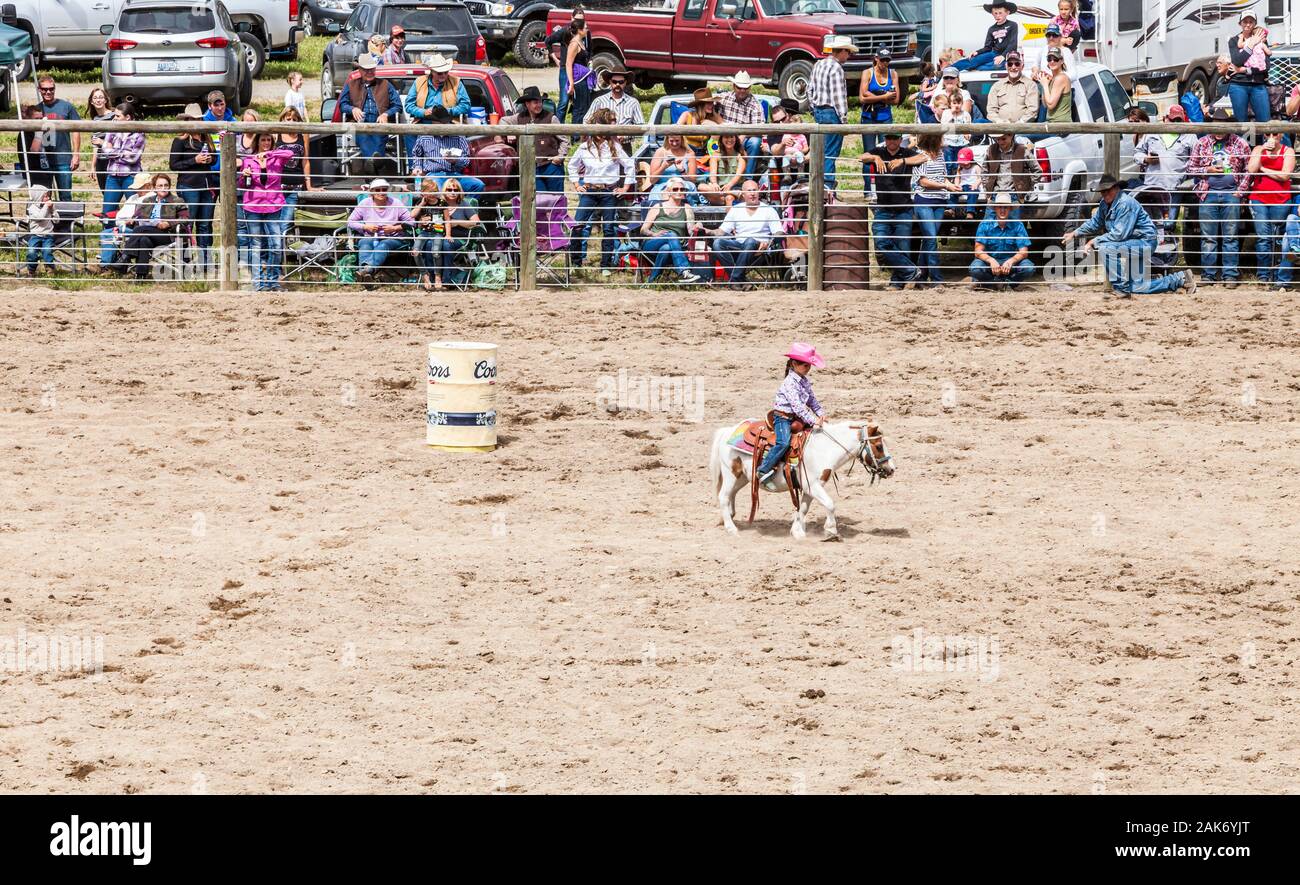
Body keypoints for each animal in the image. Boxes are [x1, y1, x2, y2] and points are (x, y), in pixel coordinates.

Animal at [712, 421, 894, 538]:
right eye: (879, 446)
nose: (891, 469)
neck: (825, 448)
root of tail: (727, 431)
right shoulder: (813, 486)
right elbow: (830, 504)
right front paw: (831, 531)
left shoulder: (809, 487)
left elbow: (803, 508)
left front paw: (797, 531)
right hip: (731, 474)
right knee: (723, 497)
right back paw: (731, 528)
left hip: (742, 477)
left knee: (731, 495)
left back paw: (729, 517)